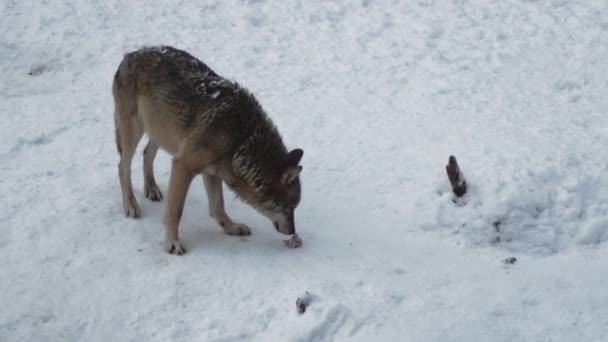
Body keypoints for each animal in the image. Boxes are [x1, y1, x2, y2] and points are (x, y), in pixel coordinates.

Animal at [111, 44, 304, 254]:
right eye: (290, 208)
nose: (292, 231)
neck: (242, 139)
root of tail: (130, 55)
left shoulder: (212, 171)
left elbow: (218, 206)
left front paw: (231, 228)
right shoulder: (183, 166)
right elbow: (175, 212)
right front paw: (172, 242)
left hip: (161, 131)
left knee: (147, 153)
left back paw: (152, 189)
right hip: (135, 132)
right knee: (122, 167)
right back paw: (131, 206)